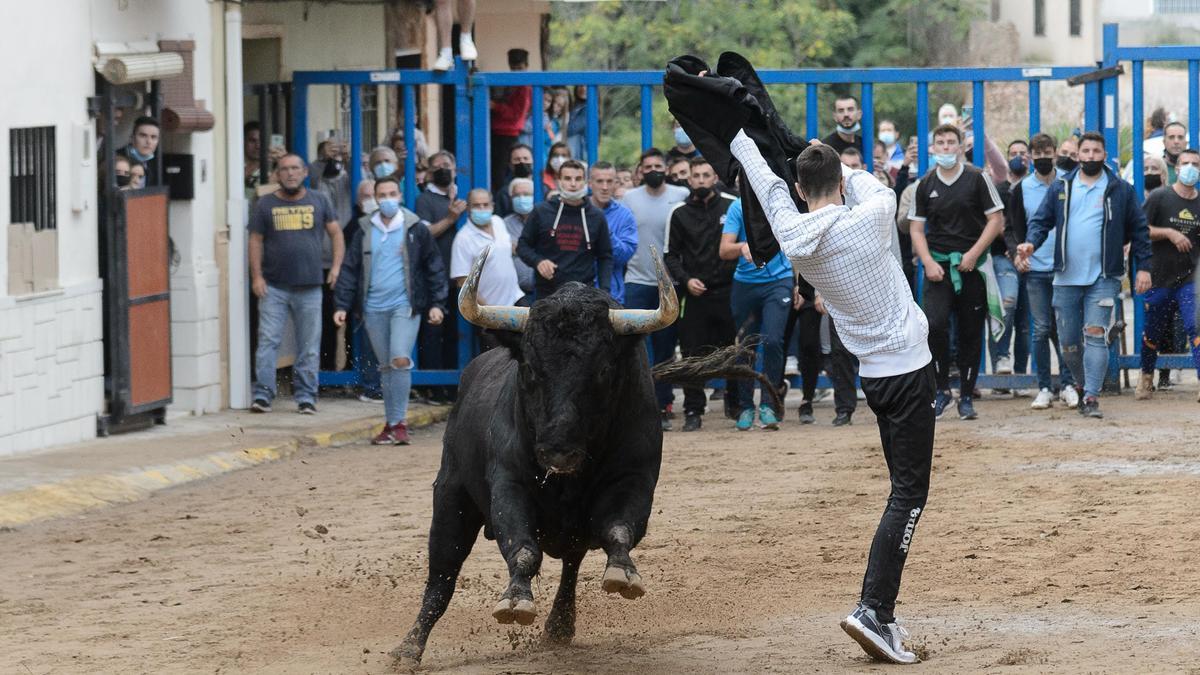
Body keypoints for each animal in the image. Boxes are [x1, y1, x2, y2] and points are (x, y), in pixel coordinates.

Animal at [388, 246, 681, 662]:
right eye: (529, 366)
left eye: (603, 370)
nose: (558, 451)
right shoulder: (508, 485)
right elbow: (522, 548)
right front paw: (515, 600)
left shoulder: (635, 479)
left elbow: (618, 529)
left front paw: (623, 574)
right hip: (450, 495)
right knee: (442, 573)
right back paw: (409, 647)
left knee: (572, 564)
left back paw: (559, 626)